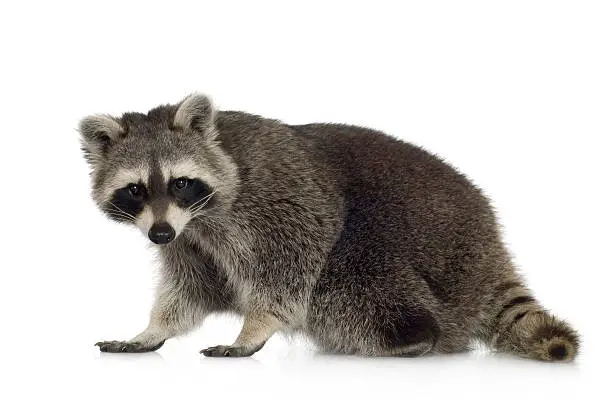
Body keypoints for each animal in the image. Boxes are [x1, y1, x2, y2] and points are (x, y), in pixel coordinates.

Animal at [80, 92, 580, 360]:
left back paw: (411, 336)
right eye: (135, 190)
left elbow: (291, 264)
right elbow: (188, 288)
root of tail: (488, 242)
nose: (158, 235)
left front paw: (254, 328)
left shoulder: (281, 201)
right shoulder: (190, 241)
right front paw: (153, 330)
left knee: (347, 279)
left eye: (180, 182)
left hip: (413, 243)